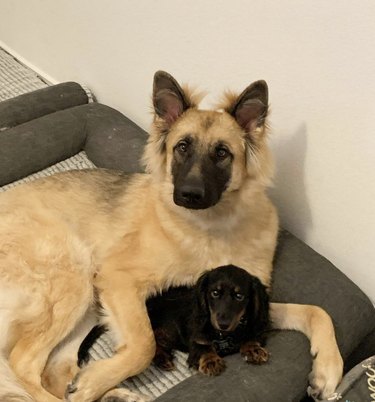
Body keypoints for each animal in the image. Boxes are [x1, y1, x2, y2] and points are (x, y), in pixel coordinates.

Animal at [79, 266, 272, 376]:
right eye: (215, 293)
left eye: (239, 296)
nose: (223, 324)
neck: (223, 335)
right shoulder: (196, 339)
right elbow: (204, 348)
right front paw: (211, 361)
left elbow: (250, 337)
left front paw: (253, 349)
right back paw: (162, 359)